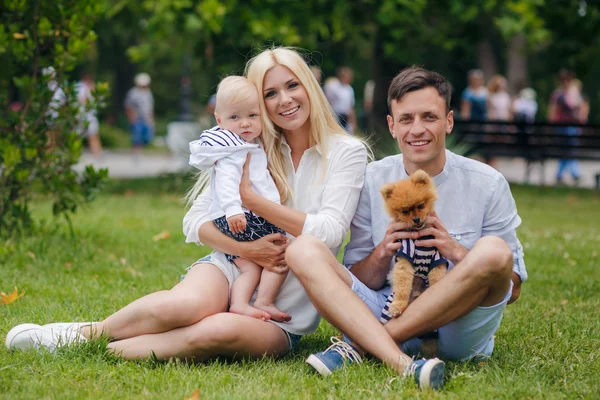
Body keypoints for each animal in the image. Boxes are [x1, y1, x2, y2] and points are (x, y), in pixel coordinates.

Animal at [380, 170, 446, 318]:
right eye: (405, 212)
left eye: (420, 205)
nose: (416, 219)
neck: (419, 234)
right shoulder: (405, 257)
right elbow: (403, 285)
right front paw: (398, 305)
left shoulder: (437, 258)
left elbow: (436, 279)